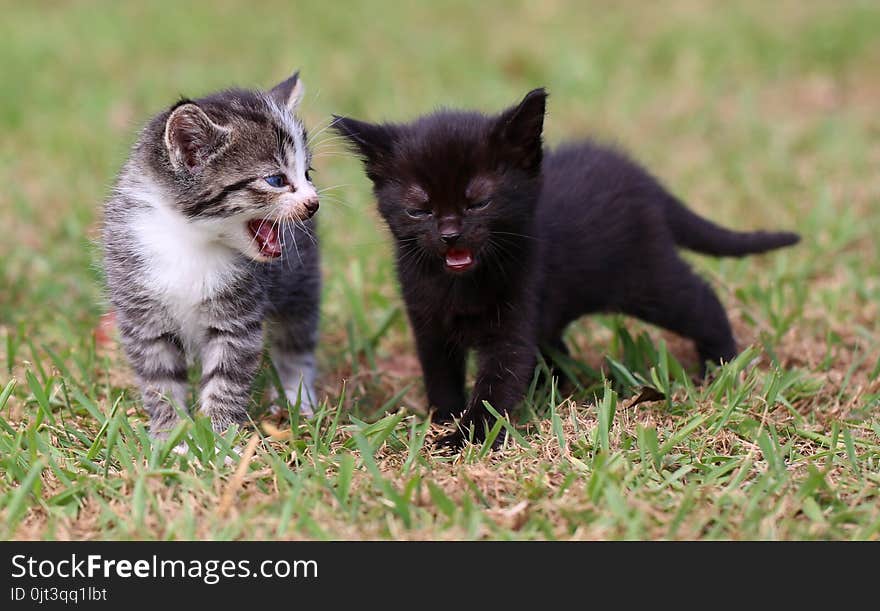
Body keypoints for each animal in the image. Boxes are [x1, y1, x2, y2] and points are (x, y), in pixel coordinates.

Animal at [105, 71, 322, 438]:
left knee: (296, 340)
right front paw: (170, 435)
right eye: (276, 180)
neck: (189, 240)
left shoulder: (237, 320)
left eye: (307, 174)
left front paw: (219, 436)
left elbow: (227, 376)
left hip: (301, 279)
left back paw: (297, 398)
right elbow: (160, 379)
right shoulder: (142, 312)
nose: (313, 202)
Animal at [334, 89, 800, 444]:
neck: (457, 287)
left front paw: (467, 437)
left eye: (479, 201)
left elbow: (495, 386)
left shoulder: (514, 319)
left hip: (648, 277)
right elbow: (441, 377)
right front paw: (445, 419)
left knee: (700, 299)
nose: (450, 233)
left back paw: (719, 363)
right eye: (419, 209)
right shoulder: (428, 324)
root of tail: (644, 180)